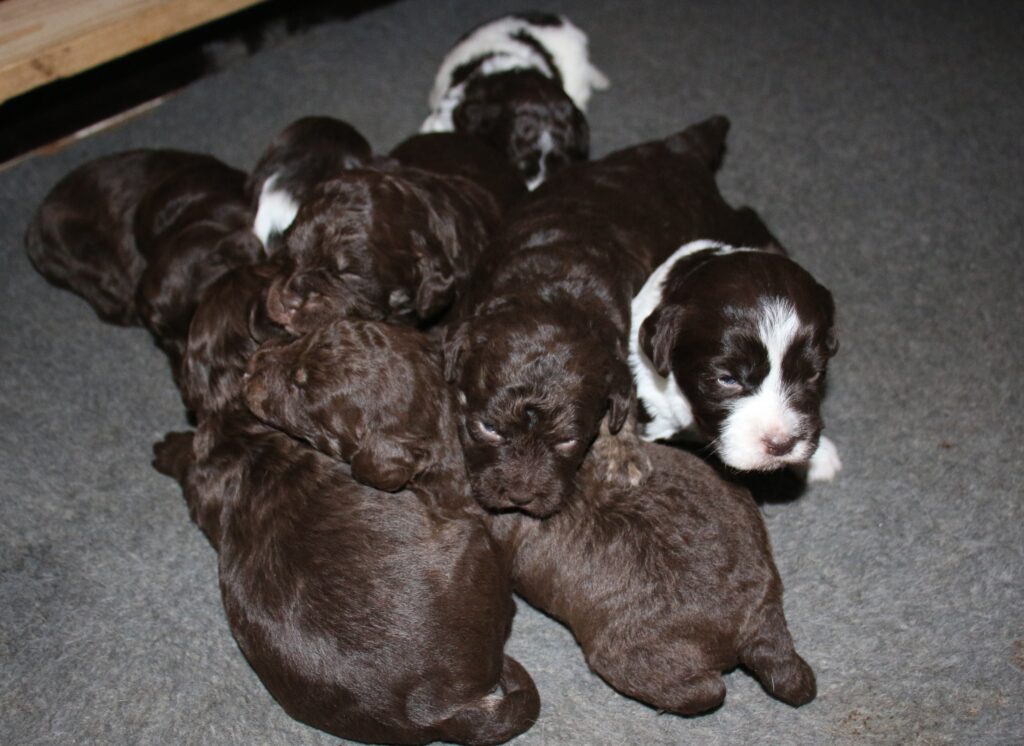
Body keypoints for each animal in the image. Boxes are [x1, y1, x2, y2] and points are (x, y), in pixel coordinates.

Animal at [443, 115, 767, 517]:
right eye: (488, 427)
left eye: (568, 441)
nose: (520, 497)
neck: (547, 289)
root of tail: (680, 147)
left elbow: (624, 403)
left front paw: (620, 450)